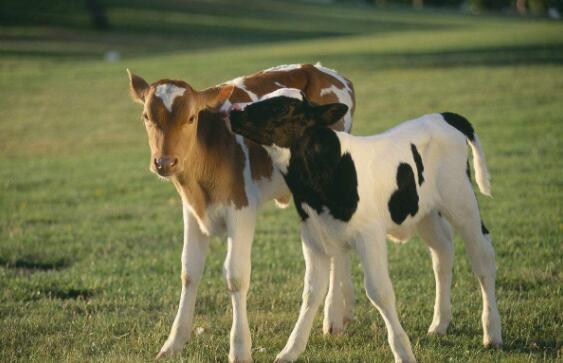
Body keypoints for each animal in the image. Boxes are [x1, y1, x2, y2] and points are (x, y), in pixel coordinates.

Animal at [128, 64, 356, 362]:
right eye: (146, 116)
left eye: (191, 117)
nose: (165, 162)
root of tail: (326, 71)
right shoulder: (191, 211)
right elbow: (189, 271)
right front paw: (173, 344)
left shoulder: (242, 209)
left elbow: (236, 276)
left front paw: (239, 348)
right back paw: (342, 313)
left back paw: (333, 315)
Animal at [229, 92, 502, 363]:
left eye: (283, 108)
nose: (233, 111)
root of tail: (444, 116)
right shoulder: (313, 236)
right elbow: (312, 293)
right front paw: (290, 351)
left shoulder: (369, 235)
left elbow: (379, 291)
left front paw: (403, 352)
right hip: (427, 213)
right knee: (442, 253)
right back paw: (439, 324)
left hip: (461, 202)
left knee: (483, 258)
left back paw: (492, 333)